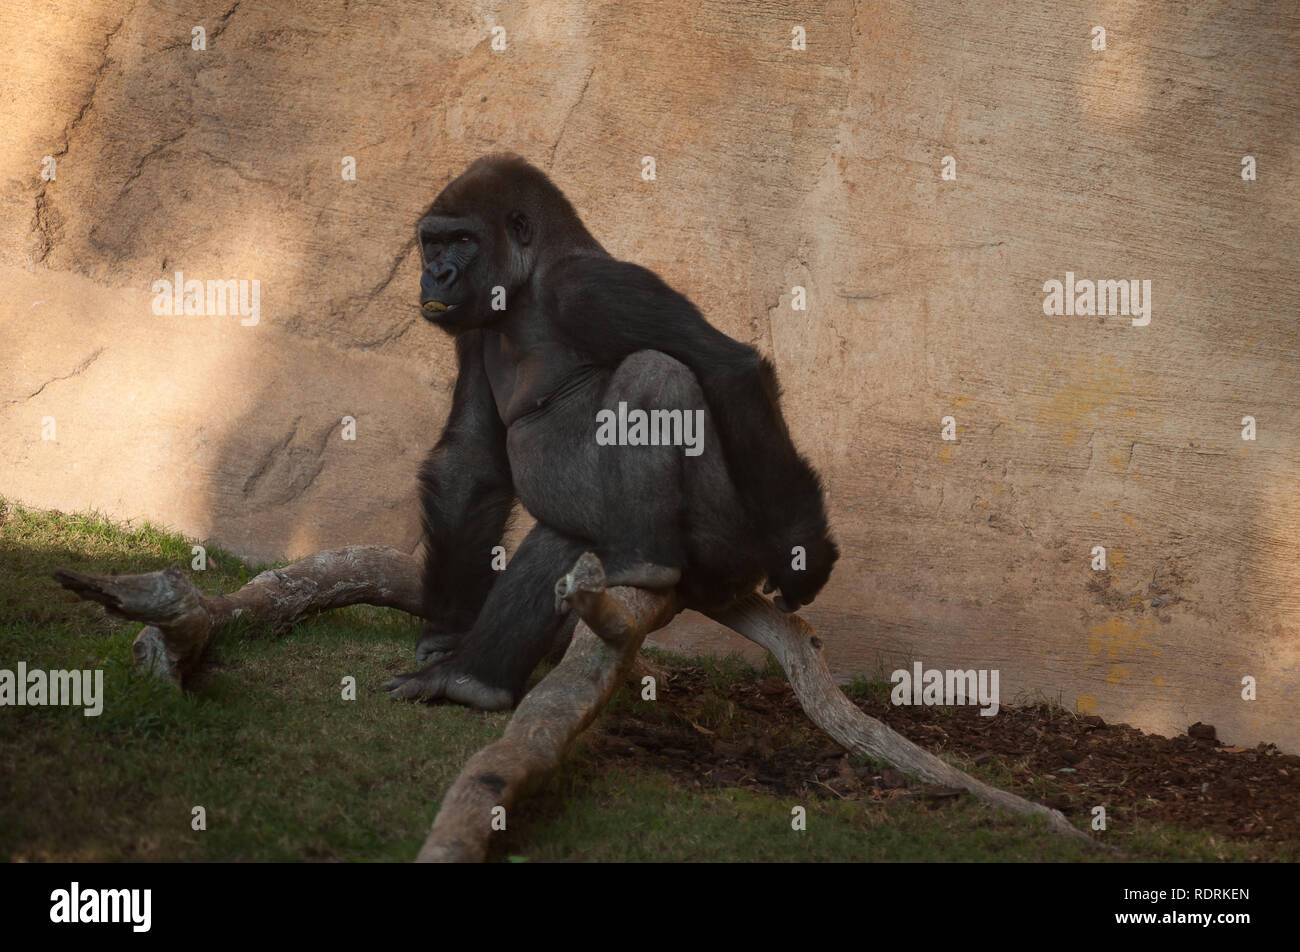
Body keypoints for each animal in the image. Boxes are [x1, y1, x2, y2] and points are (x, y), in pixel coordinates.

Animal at [379, 154, 837, 707]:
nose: (435, 274)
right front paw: (446, 628)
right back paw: (470, 679)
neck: (531, 281)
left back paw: (644, 562)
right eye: (433, 242)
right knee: (562, 537)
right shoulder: (473, 326)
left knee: (653, 374)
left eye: (464, 240)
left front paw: (802, 553)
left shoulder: (590, 287)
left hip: (733, 546)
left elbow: (727, 368)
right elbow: (470, 464)